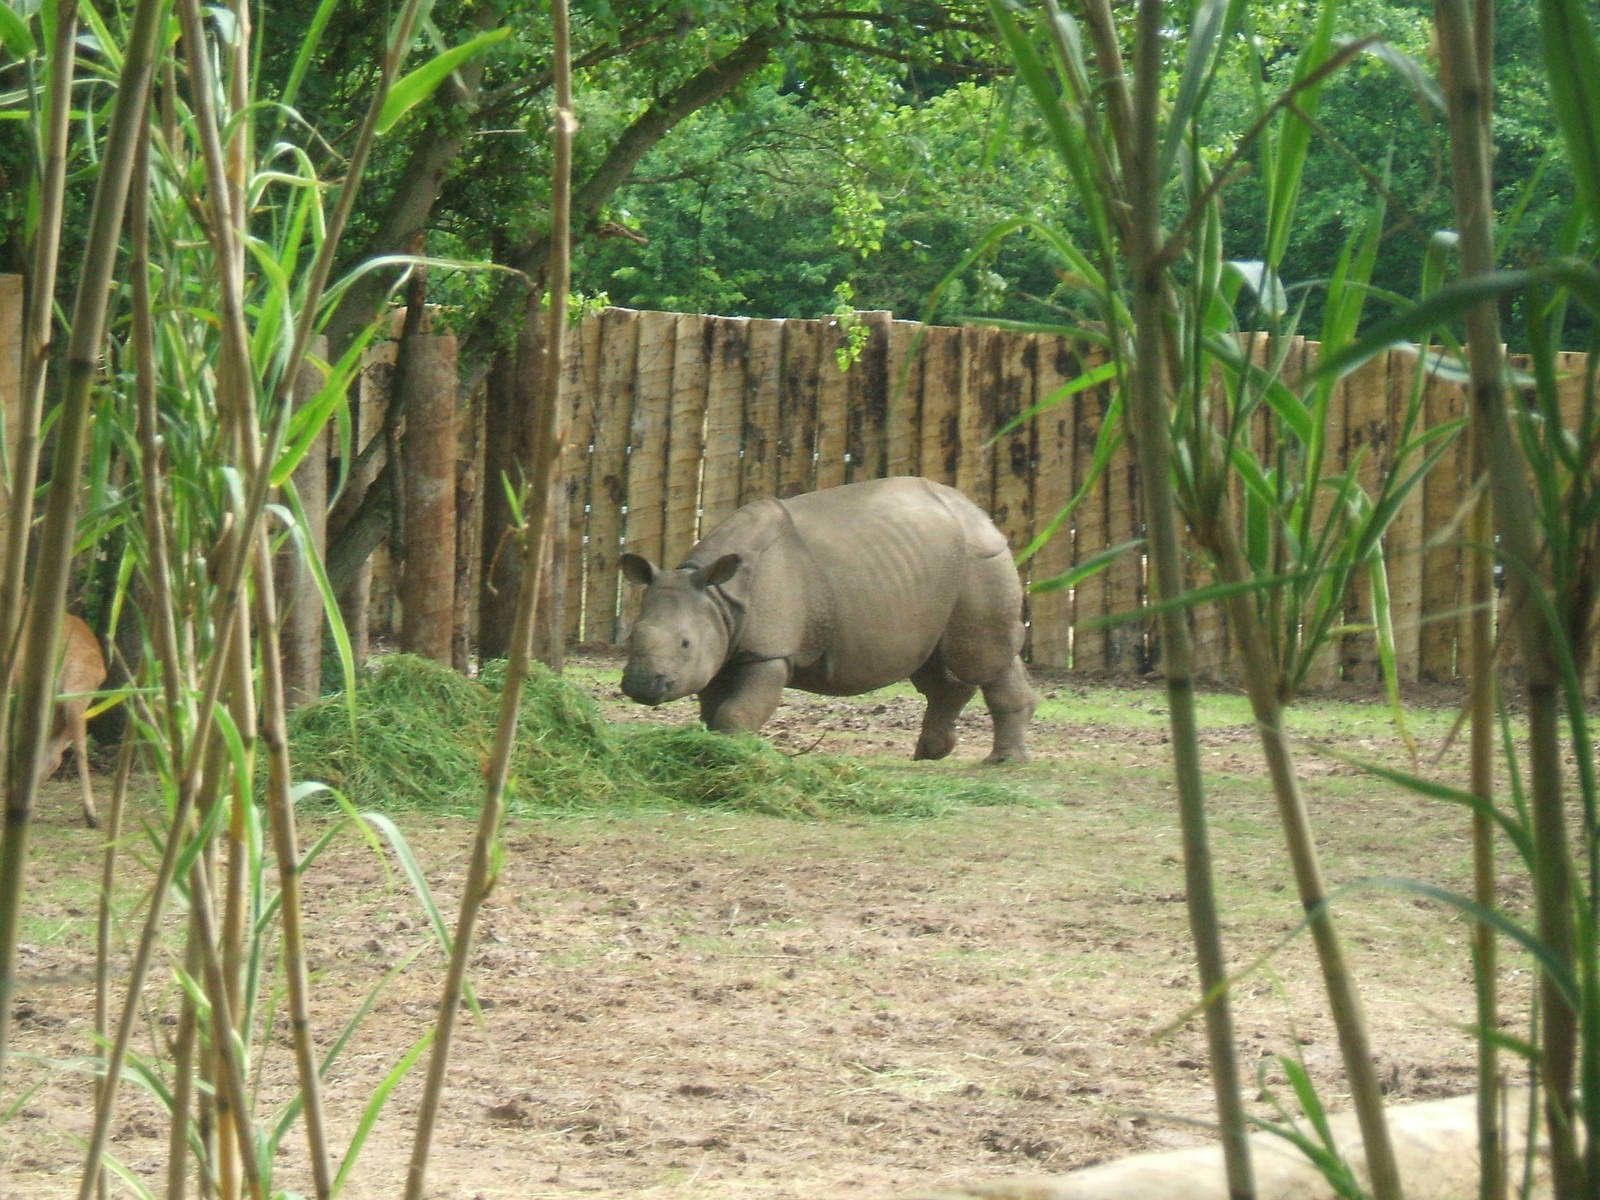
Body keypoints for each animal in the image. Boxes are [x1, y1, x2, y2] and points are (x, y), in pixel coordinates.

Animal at [619, 477, 1035, 763]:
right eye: (630, 637)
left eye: (685, 643)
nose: (640, 685)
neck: (717, 597)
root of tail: (978, 512)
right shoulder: (721, 643)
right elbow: (712, 711)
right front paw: (715, 749)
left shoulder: (770, 652)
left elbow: (736, 710)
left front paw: (736, 756)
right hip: (932, 576)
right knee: (933, 662)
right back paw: (930, 754)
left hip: (979, 558)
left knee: (980, 658)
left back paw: (1001, 762)